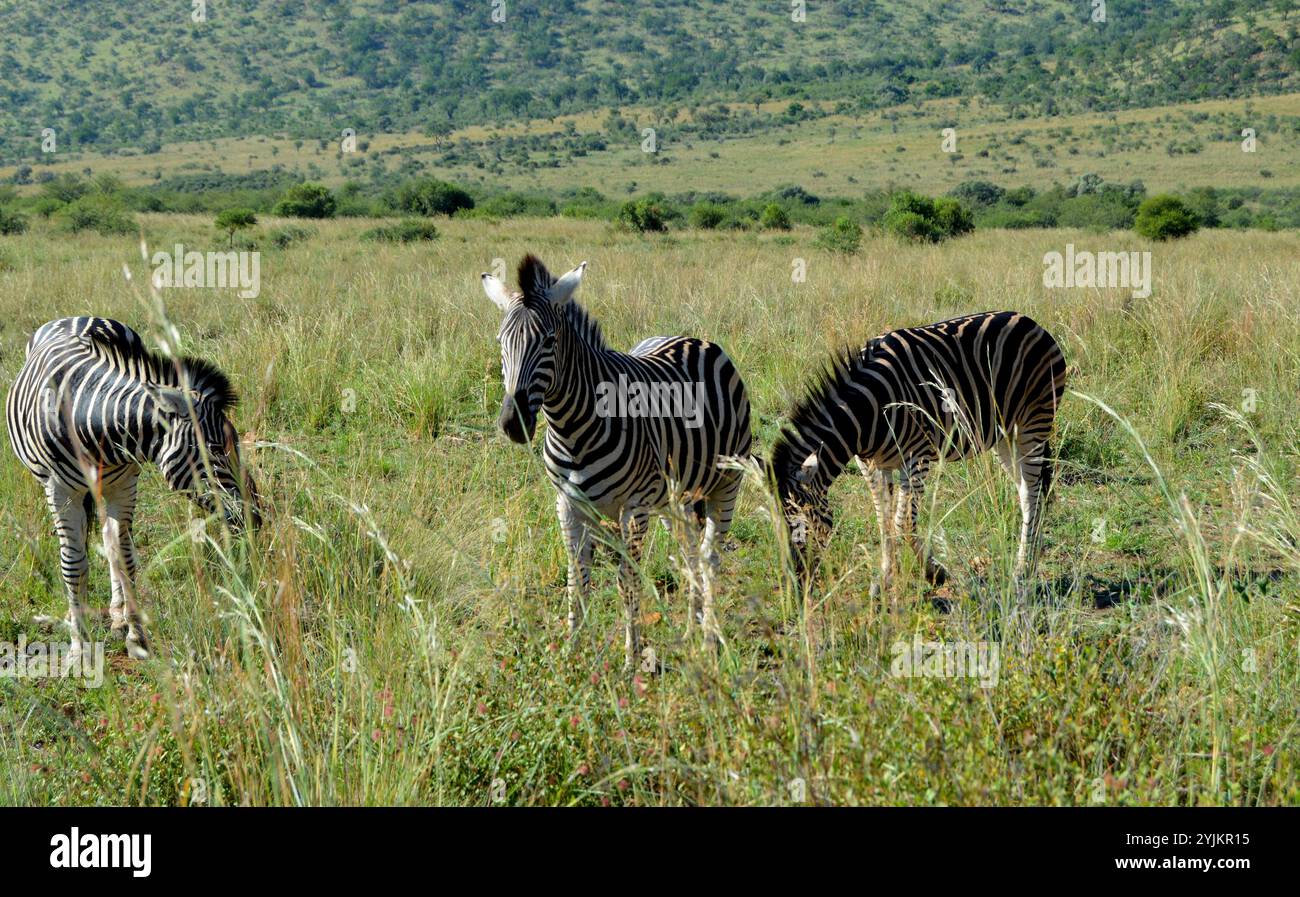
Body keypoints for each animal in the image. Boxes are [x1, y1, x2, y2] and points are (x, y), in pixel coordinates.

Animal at [6, 317, 260, 660]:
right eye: (216, 449)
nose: (256, 518)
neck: (87, 418)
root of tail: (77, 316)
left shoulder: (124, 484)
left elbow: (124, 557)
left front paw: (136, 636)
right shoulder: (60, 491)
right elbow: (73, 563)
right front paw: (78, 646)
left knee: (109, 540)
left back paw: (116, 614)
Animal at [481, 256, 752, 669]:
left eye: (549, 341)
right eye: (501, 343)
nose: (513, 423)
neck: (573, 428)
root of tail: (695, 339)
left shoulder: (634, 508)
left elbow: (628, 579)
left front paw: (631, 657)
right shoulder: (568, 504)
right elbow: (577, 578)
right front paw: (572, 652)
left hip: (726, 483)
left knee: (710, 557)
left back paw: (708, 642)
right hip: (677, 498)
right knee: (689, 552)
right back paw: (691, 630)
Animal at [770, 310, 1066, 594]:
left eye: (801, 519)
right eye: (779, 522)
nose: (796, 585)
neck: (868, 413)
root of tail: (1031, 322)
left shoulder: (916, 457)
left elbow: (903, 524)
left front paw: (934, 573)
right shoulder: (872, 465)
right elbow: (884, 521)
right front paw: (885, 580)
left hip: (1032, 424)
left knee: (1032, 494)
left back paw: (1022, 571)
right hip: (1005, 436)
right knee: (1029, 491)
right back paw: (1029, 564)